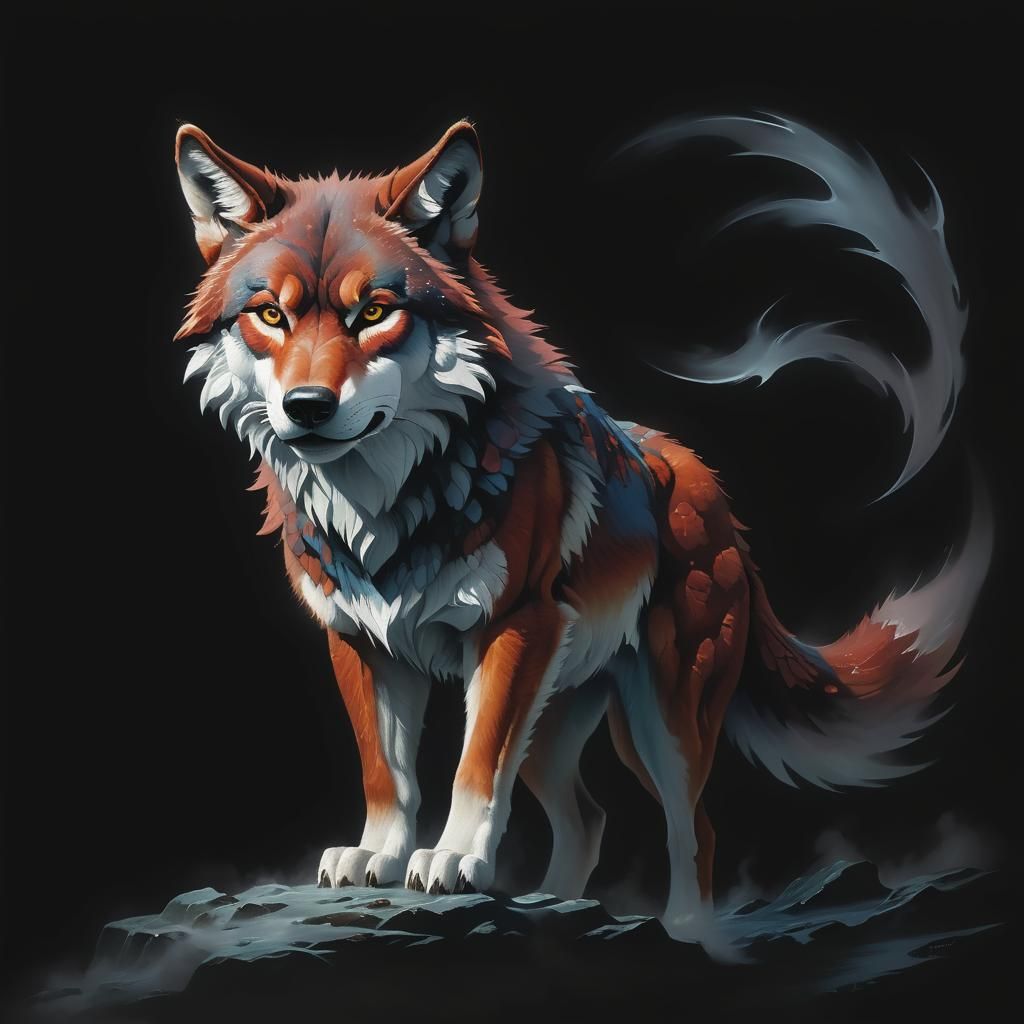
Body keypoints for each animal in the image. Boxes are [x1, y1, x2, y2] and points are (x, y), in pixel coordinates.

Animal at [172, 114, 989, 939]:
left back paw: (689, 931)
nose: (306, 407)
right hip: (555, 719)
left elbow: (473, 769)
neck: (383, 506)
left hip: (662, 719)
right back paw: (559, 906)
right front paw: (380, 854)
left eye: (372, 311)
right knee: (589, 821)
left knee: (694, 830)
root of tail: (708, 482)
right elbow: (386, 774)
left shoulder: (512, 628)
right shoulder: (360, 643)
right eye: (270, 315)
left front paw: (452, 860)